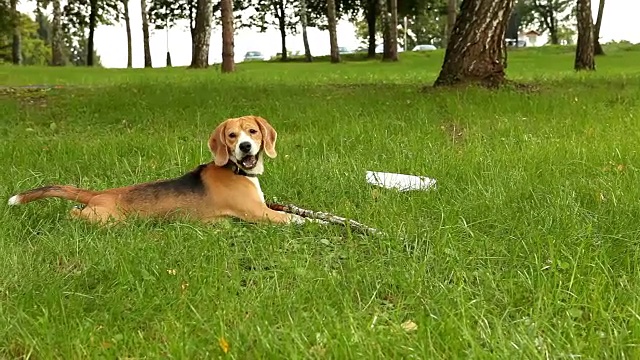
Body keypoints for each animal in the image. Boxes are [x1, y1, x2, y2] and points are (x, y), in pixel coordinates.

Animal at [6, 116, 312, 225]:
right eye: (231, 136)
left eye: (252, 132)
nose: (245, 147)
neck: (236, 170)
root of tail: (99, 194)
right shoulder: (260, 214)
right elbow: (299, 220)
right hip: (106, 219)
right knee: (73, 214)